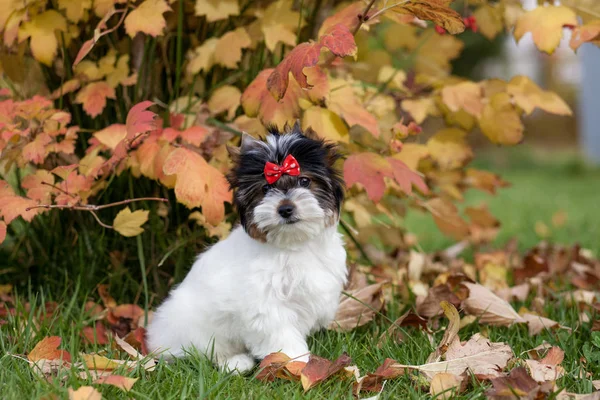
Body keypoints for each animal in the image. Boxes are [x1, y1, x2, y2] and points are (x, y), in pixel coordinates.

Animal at [146, 123, 346, 374]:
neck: (293, 245)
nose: (285, 209)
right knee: (201, 353)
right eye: (266, 188)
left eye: (304, 181)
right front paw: (294, 361)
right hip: (192, 325)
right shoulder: (265, 304)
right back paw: (235, 362)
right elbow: (280, 332)